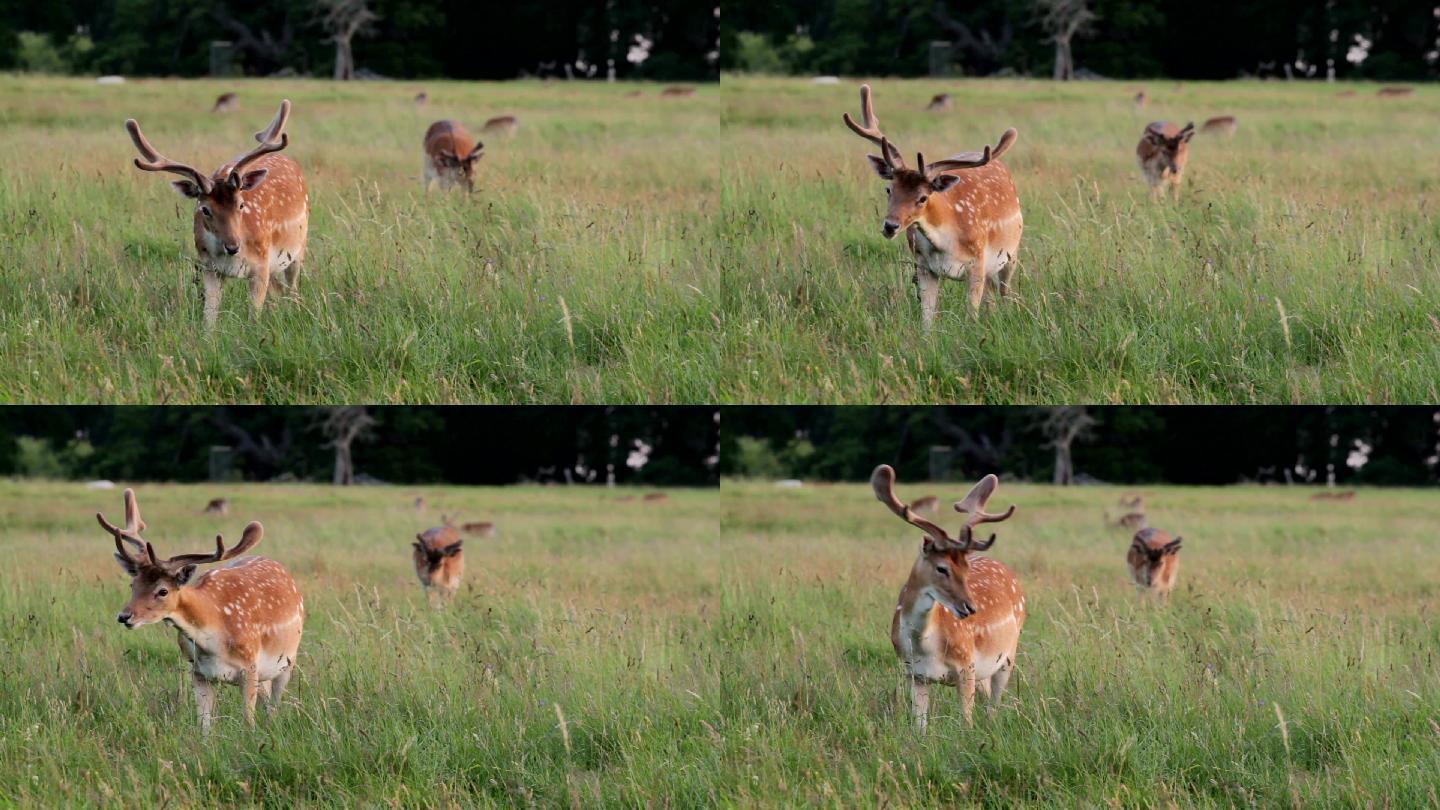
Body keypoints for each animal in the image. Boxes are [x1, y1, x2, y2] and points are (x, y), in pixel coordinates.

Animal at [101, 490, 306, 729]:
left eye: (163, 591)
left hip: (287, 659)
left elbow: (248, 722)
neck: (213, 639)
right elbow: (203, 727)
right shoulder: (197, 671)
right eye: (133, 585)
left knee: (274, 705)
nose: (124, 616)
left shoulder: (249, 667)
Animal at [126, 99, 312, 325]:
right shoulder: (209, 267)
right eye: (205, 209)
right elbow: (209, 319)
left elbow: (253, 317)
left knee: (293, 290)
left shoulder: (261, 266)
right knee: (278, 292)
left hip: (298, 248)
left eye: (241, 204)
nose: (233, 247)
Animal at [840, 82, 1031, 321]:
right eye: (889, 189)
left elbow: (971, 316)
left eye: (923, 197)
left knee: (1006, 292)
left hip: (1011, 253)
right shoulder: (923, 266)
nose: (890, 226)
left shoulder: (977, 264)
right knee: (992, 296)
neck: (947, 242)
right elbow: (927, 319)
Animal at [869, 464, 1031, 729]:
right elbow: (919, 728)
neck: (925, 646)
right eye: (941, 568)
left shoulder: (966, 666)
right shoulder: (913, 674)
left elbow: (966, 722)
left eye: (966, 567)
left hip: (1008, 654)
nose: (970, 608)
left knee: (994, 705)